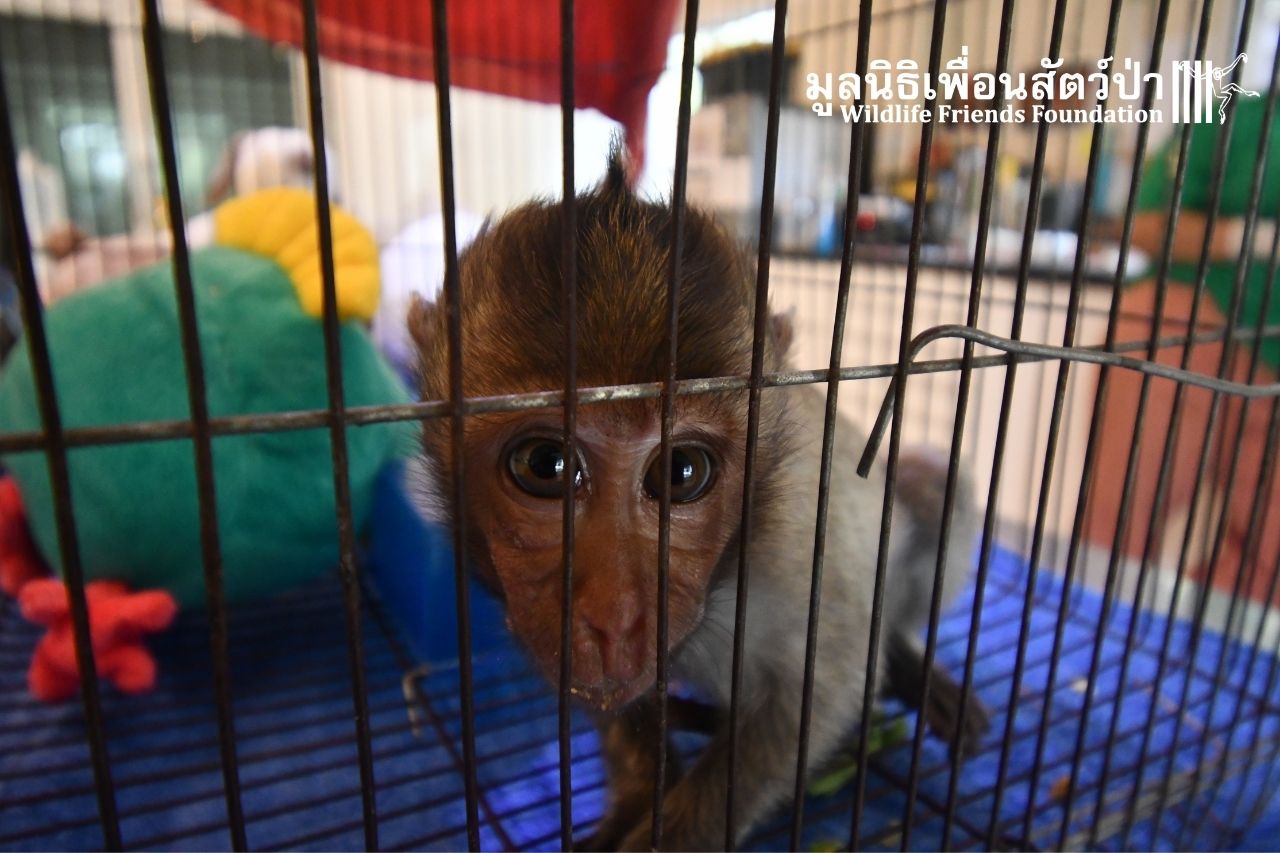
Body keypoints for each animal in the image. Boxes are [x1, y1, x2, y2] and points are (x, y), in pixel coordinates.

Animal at [409, 147, 990, 851]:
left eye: (682, 471)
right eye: (545, 465)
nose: (615, 619)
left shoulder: (800, 544)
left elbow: (827, 686)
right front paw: (637, 796)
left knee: (935, 487)